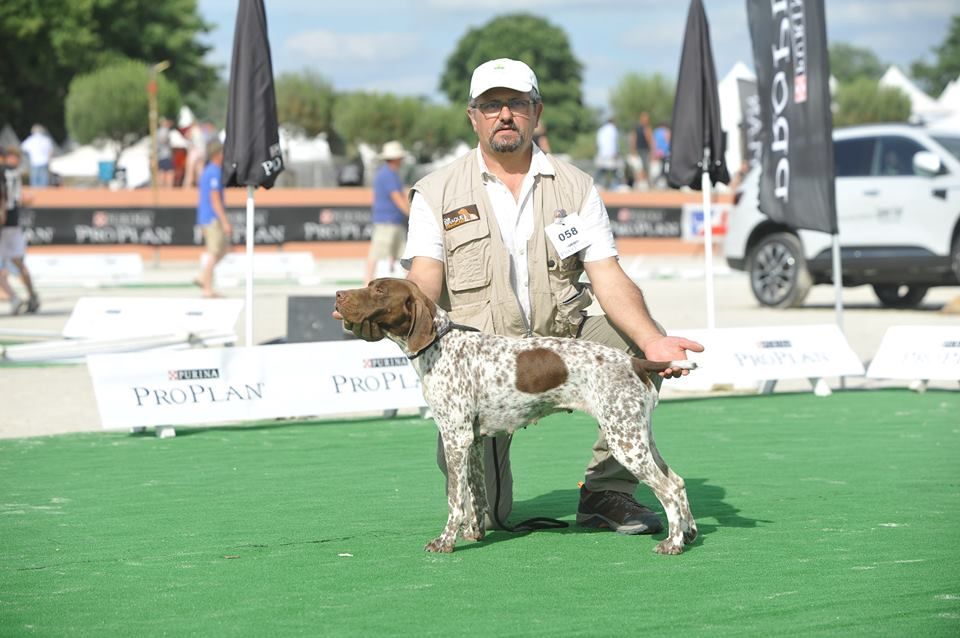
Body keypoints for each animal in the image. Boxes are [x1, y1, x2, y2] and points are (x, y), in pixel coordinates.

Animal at [334, 278, 692, 556]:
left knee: (667, 489)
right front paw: (474, 533)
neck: (440, 345)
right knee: (677, 481)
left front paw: (446, 541)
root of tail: (635, 362)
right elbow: (477, 494)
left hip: (624, 439)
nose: (338, 295)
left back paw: (672, 544)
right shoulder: (473, 442)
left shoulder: (455, 438)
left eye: (379, 290)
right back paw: (688, 534)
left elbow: (455, 499)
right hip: (638, 435)